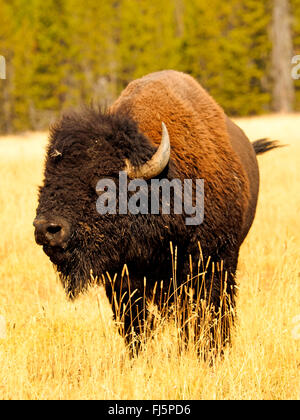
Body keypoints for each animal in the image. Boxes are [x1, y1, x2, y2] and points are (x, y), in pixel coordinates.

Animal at [33, 71, 278, 352]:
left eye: (103, 181)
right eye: (47, 178)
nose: (46, 229)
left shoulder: (215, 262)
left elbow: (211, 315)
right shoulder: (123, 280)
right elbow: (135, 328)